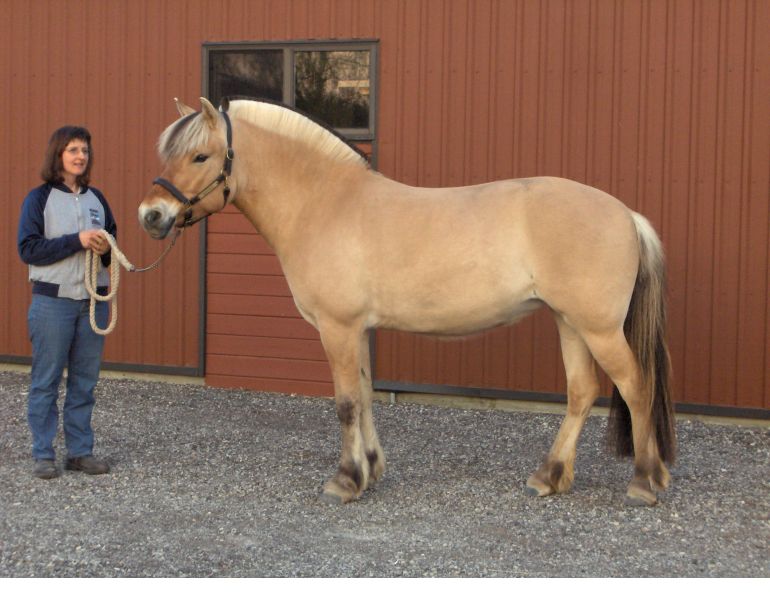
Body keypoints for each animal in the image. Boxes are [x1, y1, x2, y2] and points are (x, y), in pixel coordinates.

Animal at [138, 97, 676, 507]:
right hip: (570, 322)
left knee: (636, 386)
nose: (151, 215)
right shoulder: (358, 330)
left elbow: (346, 404)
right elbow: (364, 395)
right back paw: (550, 476)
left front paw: (345, 481)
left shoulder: (338, 327)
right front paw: (371, 470)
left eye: (200, 156)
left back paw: (645, 481)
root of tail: (626, 214)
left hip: (598, 328)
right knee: (581, 392)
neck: (325, 203)